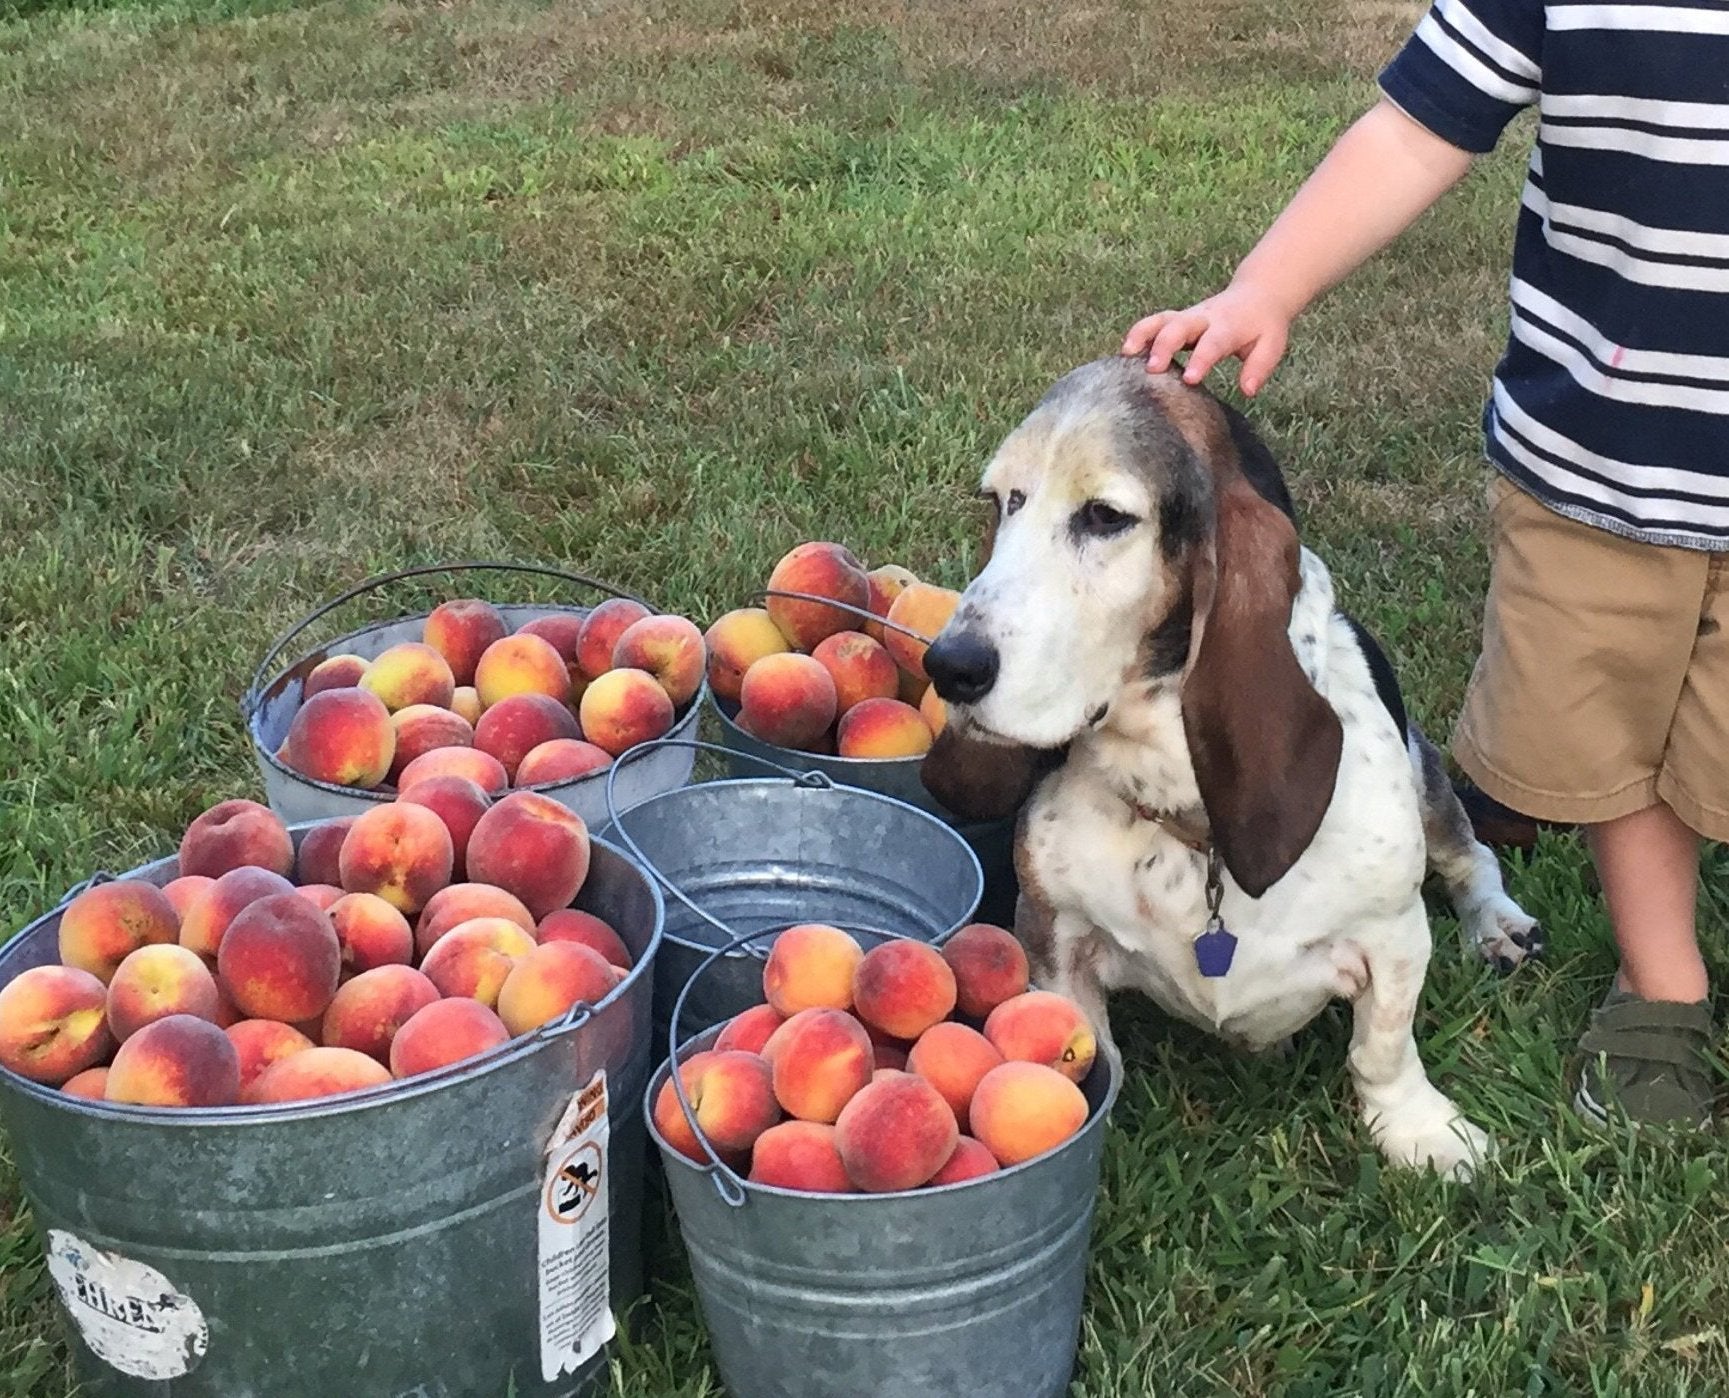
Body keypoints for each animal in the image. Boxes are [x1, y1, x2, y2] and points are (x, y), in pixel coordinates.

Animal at [919, 354, 1542, 1175]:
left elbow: (1382, 1049)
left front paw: (1420, 1132)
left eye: (1105, 516)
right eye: (1003, 502)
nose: (948, 666)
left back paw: (1500, 928)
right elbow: (1094, 1049)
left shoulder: (1394, 934)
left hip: (1427, 777)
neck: (1191, 824)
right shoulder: (1053, 932)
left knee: (1473, 858)